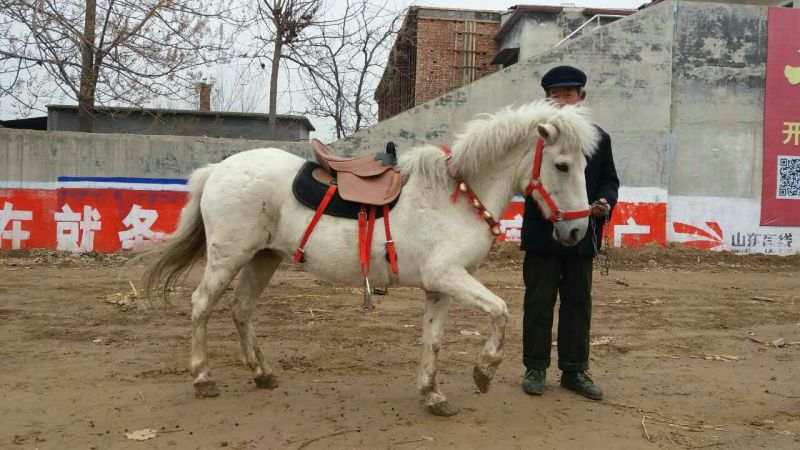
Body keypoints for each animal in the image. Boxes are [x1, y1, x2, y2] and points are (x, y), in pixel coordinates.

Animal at [139, 100, 599, 416]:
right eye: (561, 165)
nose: (577, 232)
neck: (457, 195)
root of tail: (217, 170)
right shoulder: (448, 276)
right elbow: (502, 311)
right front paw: (483, 372)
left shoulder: (440, 286)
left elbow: (433, 339)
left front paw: (432, 394)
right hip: (228, 257)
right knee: (202, 305)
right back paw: (203, 378)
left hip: (263, 258)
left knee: (240, 308)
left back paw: (262, 373)